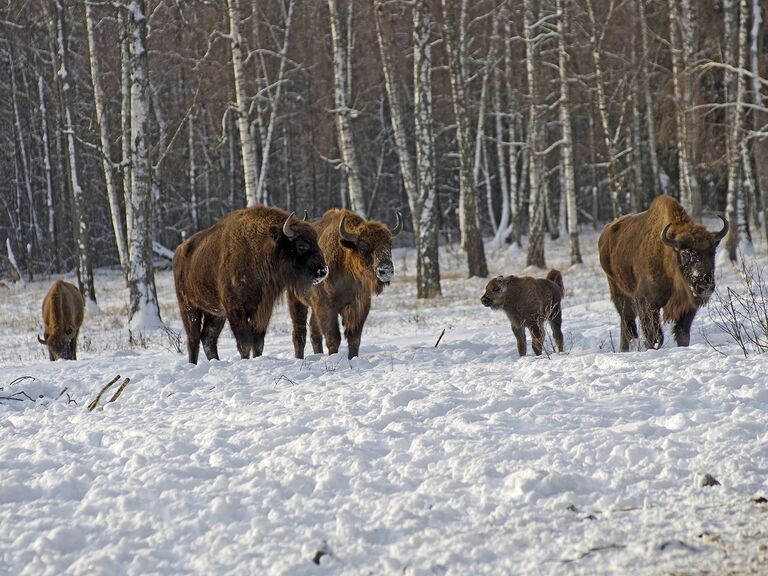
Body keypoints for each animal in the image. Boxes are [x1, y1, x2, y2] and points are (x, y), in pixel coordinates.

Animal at [172, 205, 328, 362]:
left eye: (316, 239)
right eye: (301, 245)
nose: (323, 270)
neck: (259, 250)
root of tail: (179, 251)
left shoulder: (262, 309)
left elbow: (258, 342)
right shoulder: (235, 308)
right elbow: (244, 342)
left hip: (216, 314)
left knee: (208, 338)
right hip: (189, 307)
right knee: (193, 340)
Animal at [288, 207, 404, 360]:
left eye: (389, 244)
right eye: (364, 246)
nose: (386, 270)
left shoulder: (358, 305)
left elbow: (354, 338)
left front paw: (352, 358)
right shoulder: (326, 306)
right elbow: (333, 338)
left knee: (314, 332)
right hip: (295, 300)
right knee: (299, 332)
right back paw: (299, 358)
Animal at [596, 196, 728, 354]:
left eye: (712, 251)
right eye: (685, 254)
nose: (704, 286)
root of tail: (606, 232)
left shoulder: (688, 306)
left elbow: (683, 334)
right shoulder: (647, 303)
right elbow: (655, 337)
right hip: (618, 290)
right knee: (628, 323)